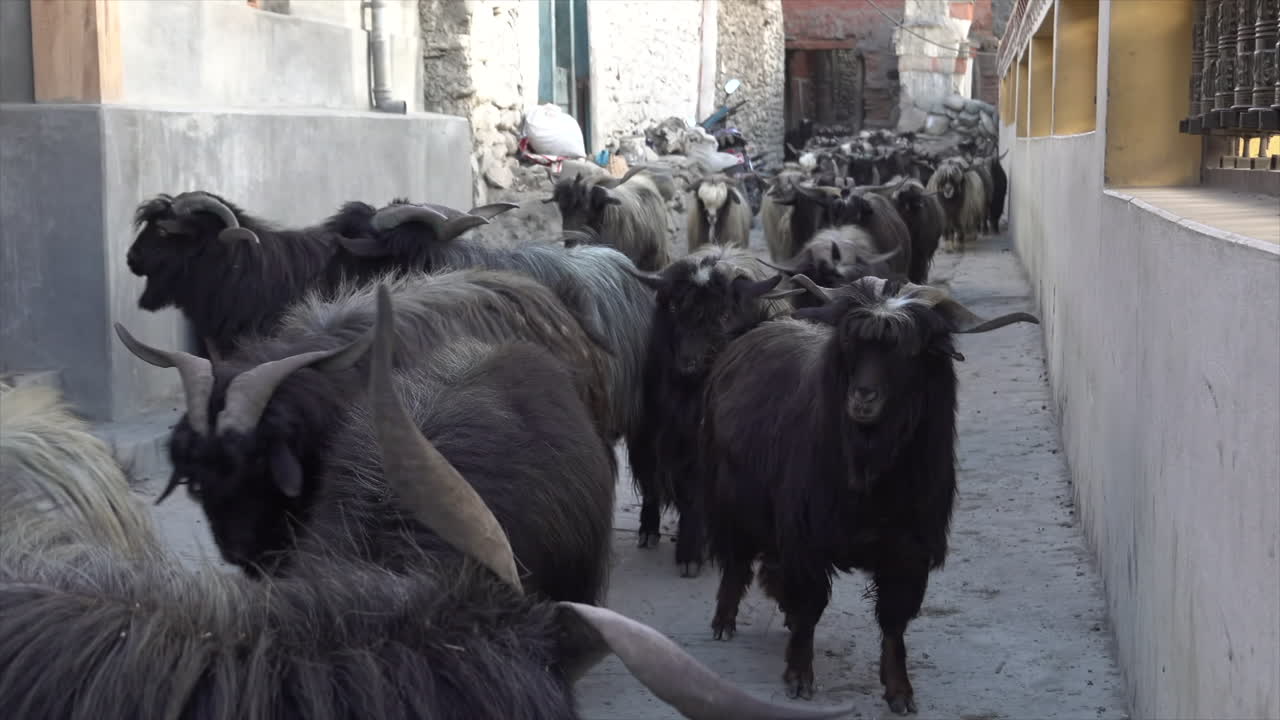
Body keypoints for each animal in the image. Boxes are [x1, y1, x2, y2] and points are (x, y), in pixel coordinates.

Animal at [624, 246, 791, 576]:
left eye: (725, 314)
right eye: (675, 306)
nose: (686, 362)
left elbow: (696, 495)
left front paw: (691, 554)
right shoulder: (657, 436)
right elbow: (663, 484)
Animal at [701, 274, 1038, 713]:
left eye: (910, 353)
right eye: (850, 343)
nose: (863, 396)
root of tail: (751, 332)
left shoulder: (908, 550)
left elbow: (893, 619)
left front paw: (900, 692)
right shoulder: (805, 538)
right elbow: (810, 604)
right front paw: (799, 676)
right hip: (730, 497)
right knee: (737, 559)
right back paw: (723, 622)